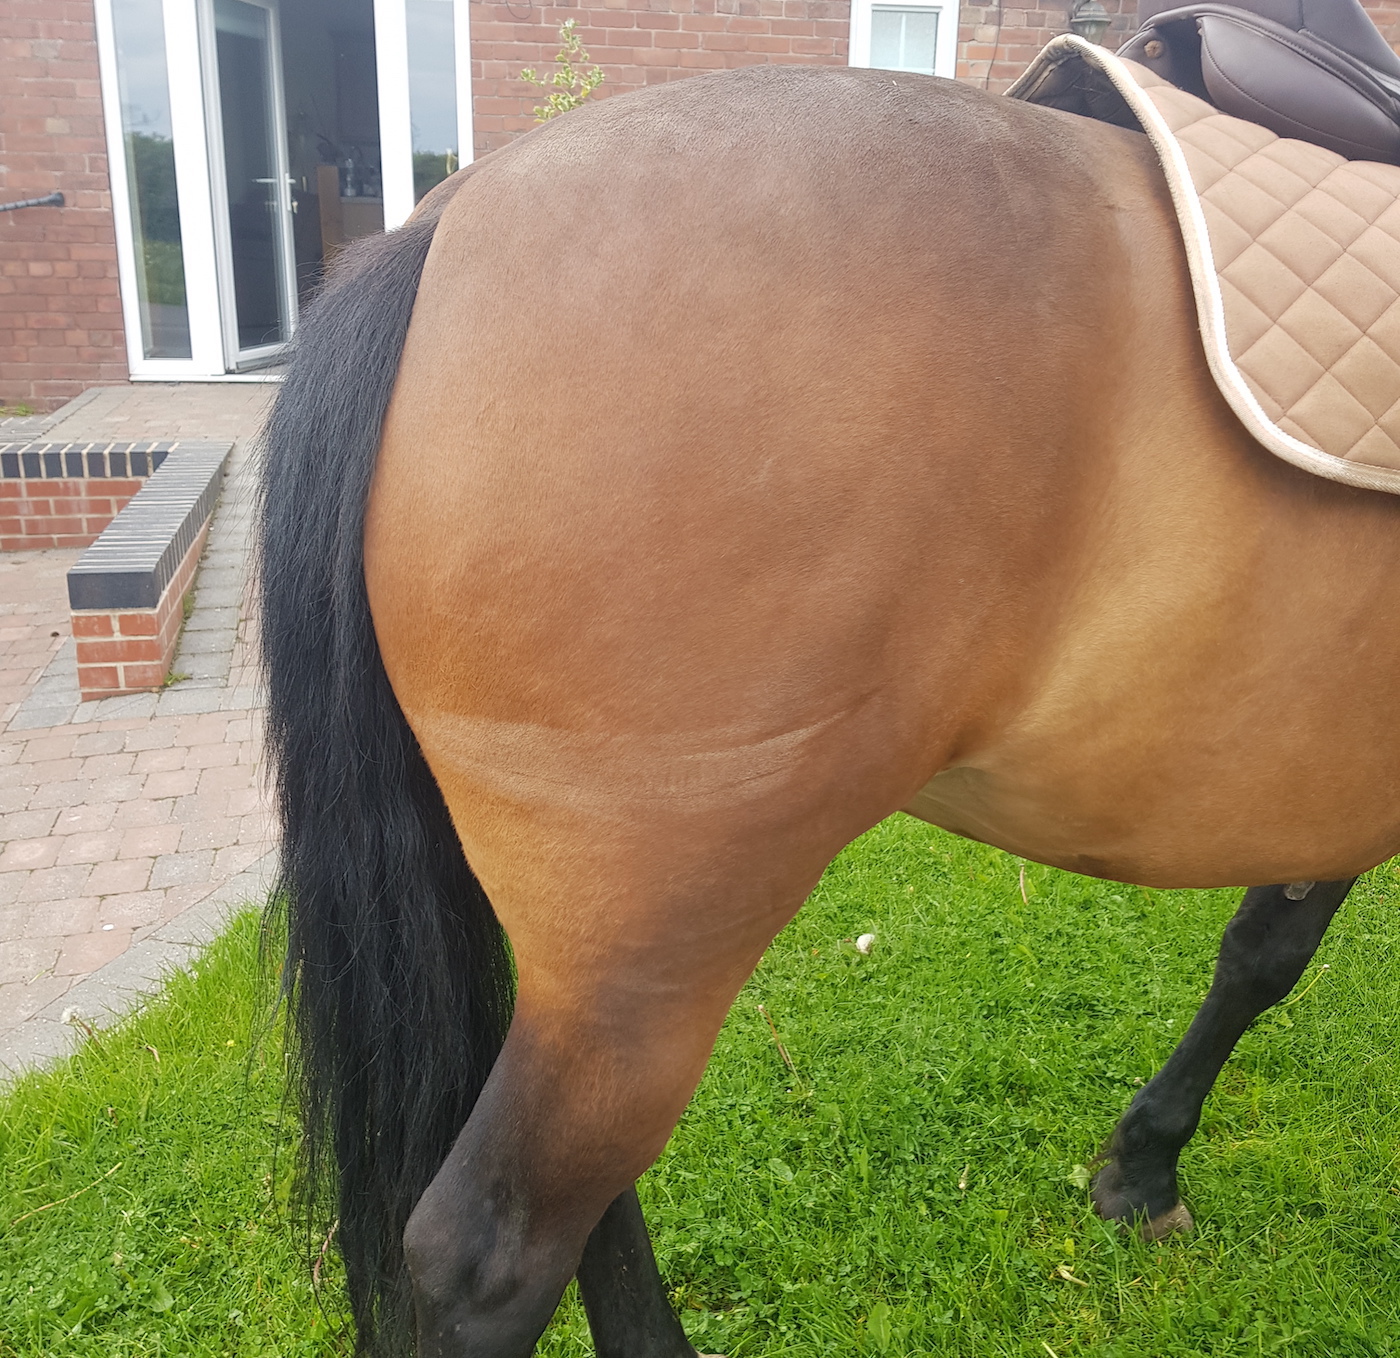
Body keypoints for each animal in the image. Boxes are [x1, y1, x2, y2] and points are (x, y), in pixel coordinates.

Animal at [258, 62, 1400, 1358]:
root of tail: (442, 225)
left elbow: (1261, 950)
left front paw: (1140, 1166)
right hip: (646, 950)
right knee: (489, 1250)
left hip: (594, 972)